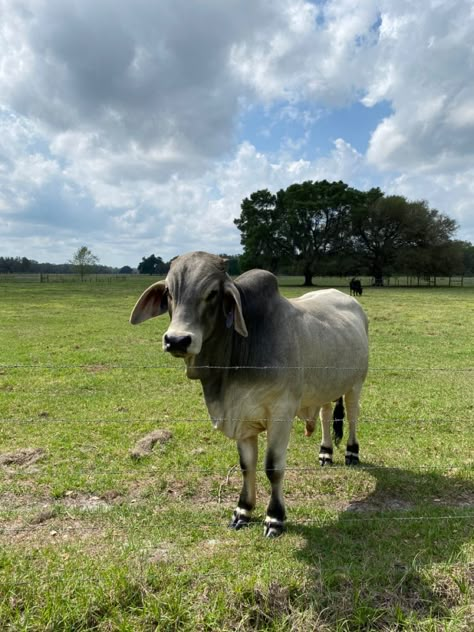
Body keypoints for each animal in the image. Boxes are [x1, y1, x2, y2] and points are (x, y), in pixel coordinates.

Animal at [131, 249, 370, 536]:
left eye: (212, 292)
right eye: (168, 291)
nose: (177, 340)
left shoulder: (281, 413)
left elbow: (273, 468)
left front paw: (274, 518)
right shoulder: (241, 417)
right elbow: (247, 466)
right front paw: (243, 511)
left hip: (356, 384)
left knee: (353, 416)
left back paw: (351, 453)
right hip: (324, 387)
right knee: (325, 414)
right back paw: (325, 453)